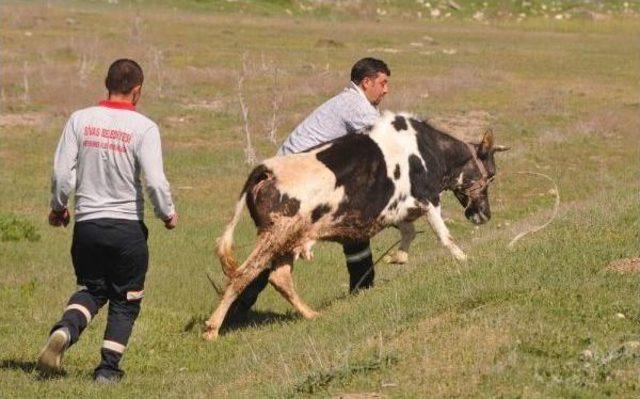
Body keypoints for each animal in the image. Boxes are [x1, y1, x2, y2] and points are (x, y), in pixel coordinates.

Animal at [202, 111, 508, 340]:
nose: (485, 215)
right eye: (491, 174)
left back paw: (311, 314)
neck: (429, 149)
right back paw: (212, 329)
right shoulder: (428, 197)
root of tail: (265, 169)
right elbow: (444, 235)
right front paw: (465, 259)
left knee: (278, 277)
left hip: (289, 240)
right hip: (276, 234)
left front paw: (397, 257)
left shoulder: (397, 209)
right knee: (243, 274)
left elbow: (409, 232)